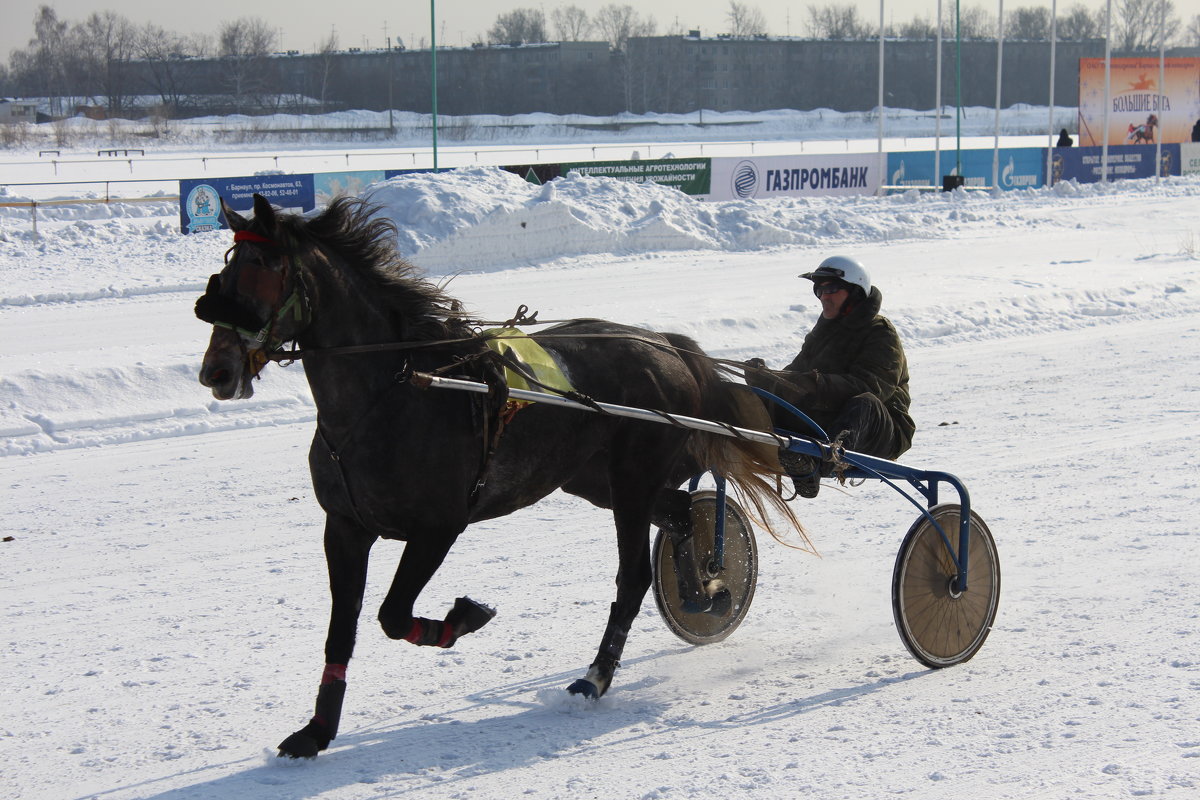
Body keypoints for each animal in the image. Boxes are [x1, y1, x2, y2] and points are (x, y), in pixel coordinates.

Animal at [196, 191, 792, 758]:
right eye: (223, 276)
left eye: (263, 269)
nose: (216, 372)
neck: (391, 394)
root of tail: (666, 346)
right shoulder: (343, 527)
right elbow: (342, 631)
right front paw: (315, 733)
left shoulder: (438, 527)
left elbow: (393, 615)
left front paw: (464, 616)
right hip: (595, 480)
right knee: (679, 514)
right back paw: (704, 591)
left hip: (630, 480)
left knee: (634, 575)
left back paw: (597, 676)